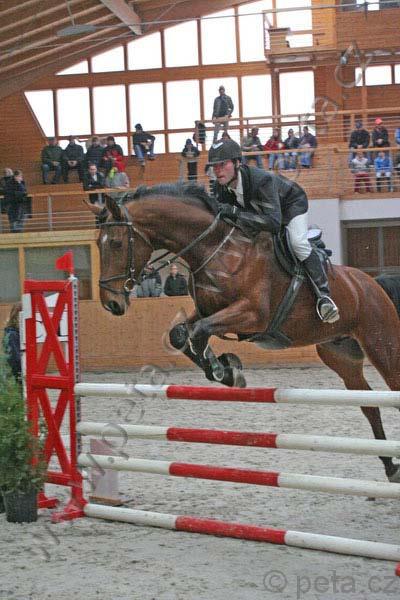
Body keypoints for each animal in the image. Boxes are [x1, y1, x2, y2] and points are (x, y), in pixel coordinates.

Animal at [88, 182, 400, 482]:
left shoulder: (252, 315)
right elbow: (180, 334)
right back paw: (390, 466)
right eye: (99, 246)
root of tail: (373, 284)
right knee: (369, 404)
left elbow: (199, 333)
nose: (111, 304)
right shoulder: (207, 310)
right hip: (341, 355)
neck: (214, 248)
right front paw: (227, 371)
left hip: (382, 345)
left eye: (116, 243)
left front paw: (223, 369)